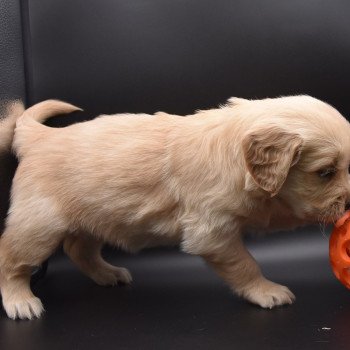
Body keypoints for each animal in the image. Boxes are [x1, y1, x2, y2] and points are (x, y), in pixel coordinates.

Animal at [0, 96, 350, 320]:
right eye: (325, 172)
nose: (349, 202)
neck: (232, 150)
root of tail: (42, 137)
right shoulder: (212, 231)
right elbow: (245, 264)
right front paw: (266, 292)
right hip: (39, 226)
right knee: (10, 257)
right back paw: (20, 301)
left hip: (96, 215)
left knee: (78, 249)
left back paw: (108, 273)